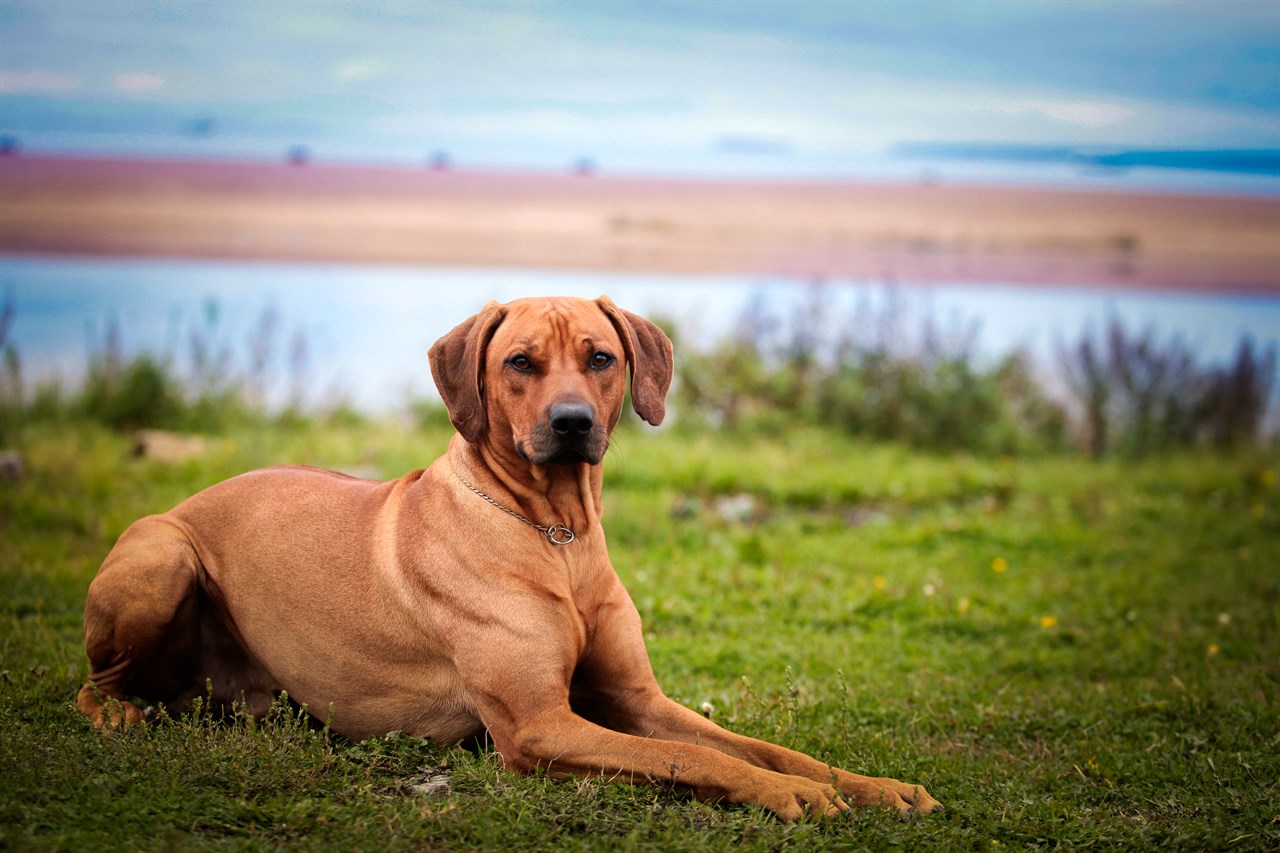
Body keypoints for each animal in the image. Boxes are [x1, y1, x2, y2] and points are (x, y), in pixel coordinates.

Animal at [80, 294, 942, 819]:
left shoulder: (637, 698)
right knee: (96, 686)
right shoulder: (537, 727)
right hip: (162, 555)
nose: (571, 423)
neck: (555, 533)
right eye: (520, 361)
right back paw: (121, 712)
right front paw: (788, 795)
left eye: (600, 357)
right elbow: (686, 759)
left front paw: (874, 785)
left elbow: (763, 746)